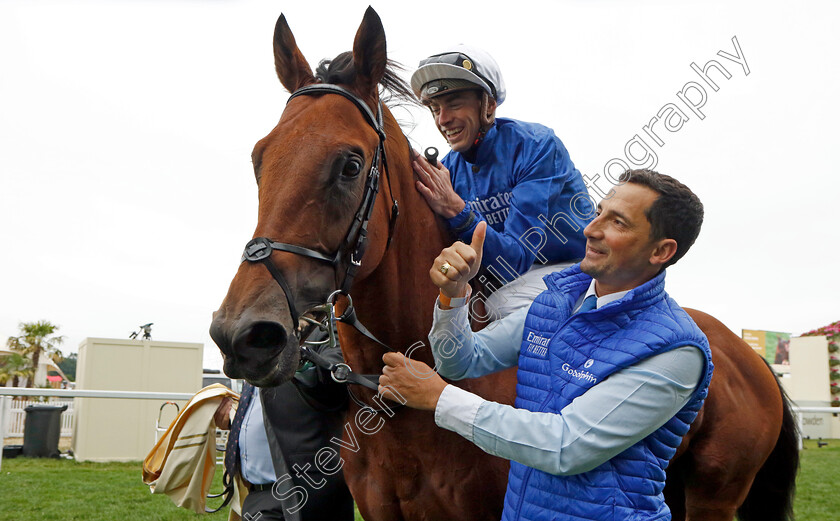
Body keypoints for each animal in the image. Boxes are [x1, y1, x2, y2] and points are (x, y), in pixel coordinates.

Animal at [207, 8, 796, 520]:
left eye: (350, 164)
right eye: (259, 158)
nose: (243, 335)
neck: (399, 408)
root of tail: (749, 354)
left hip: (714, 497)